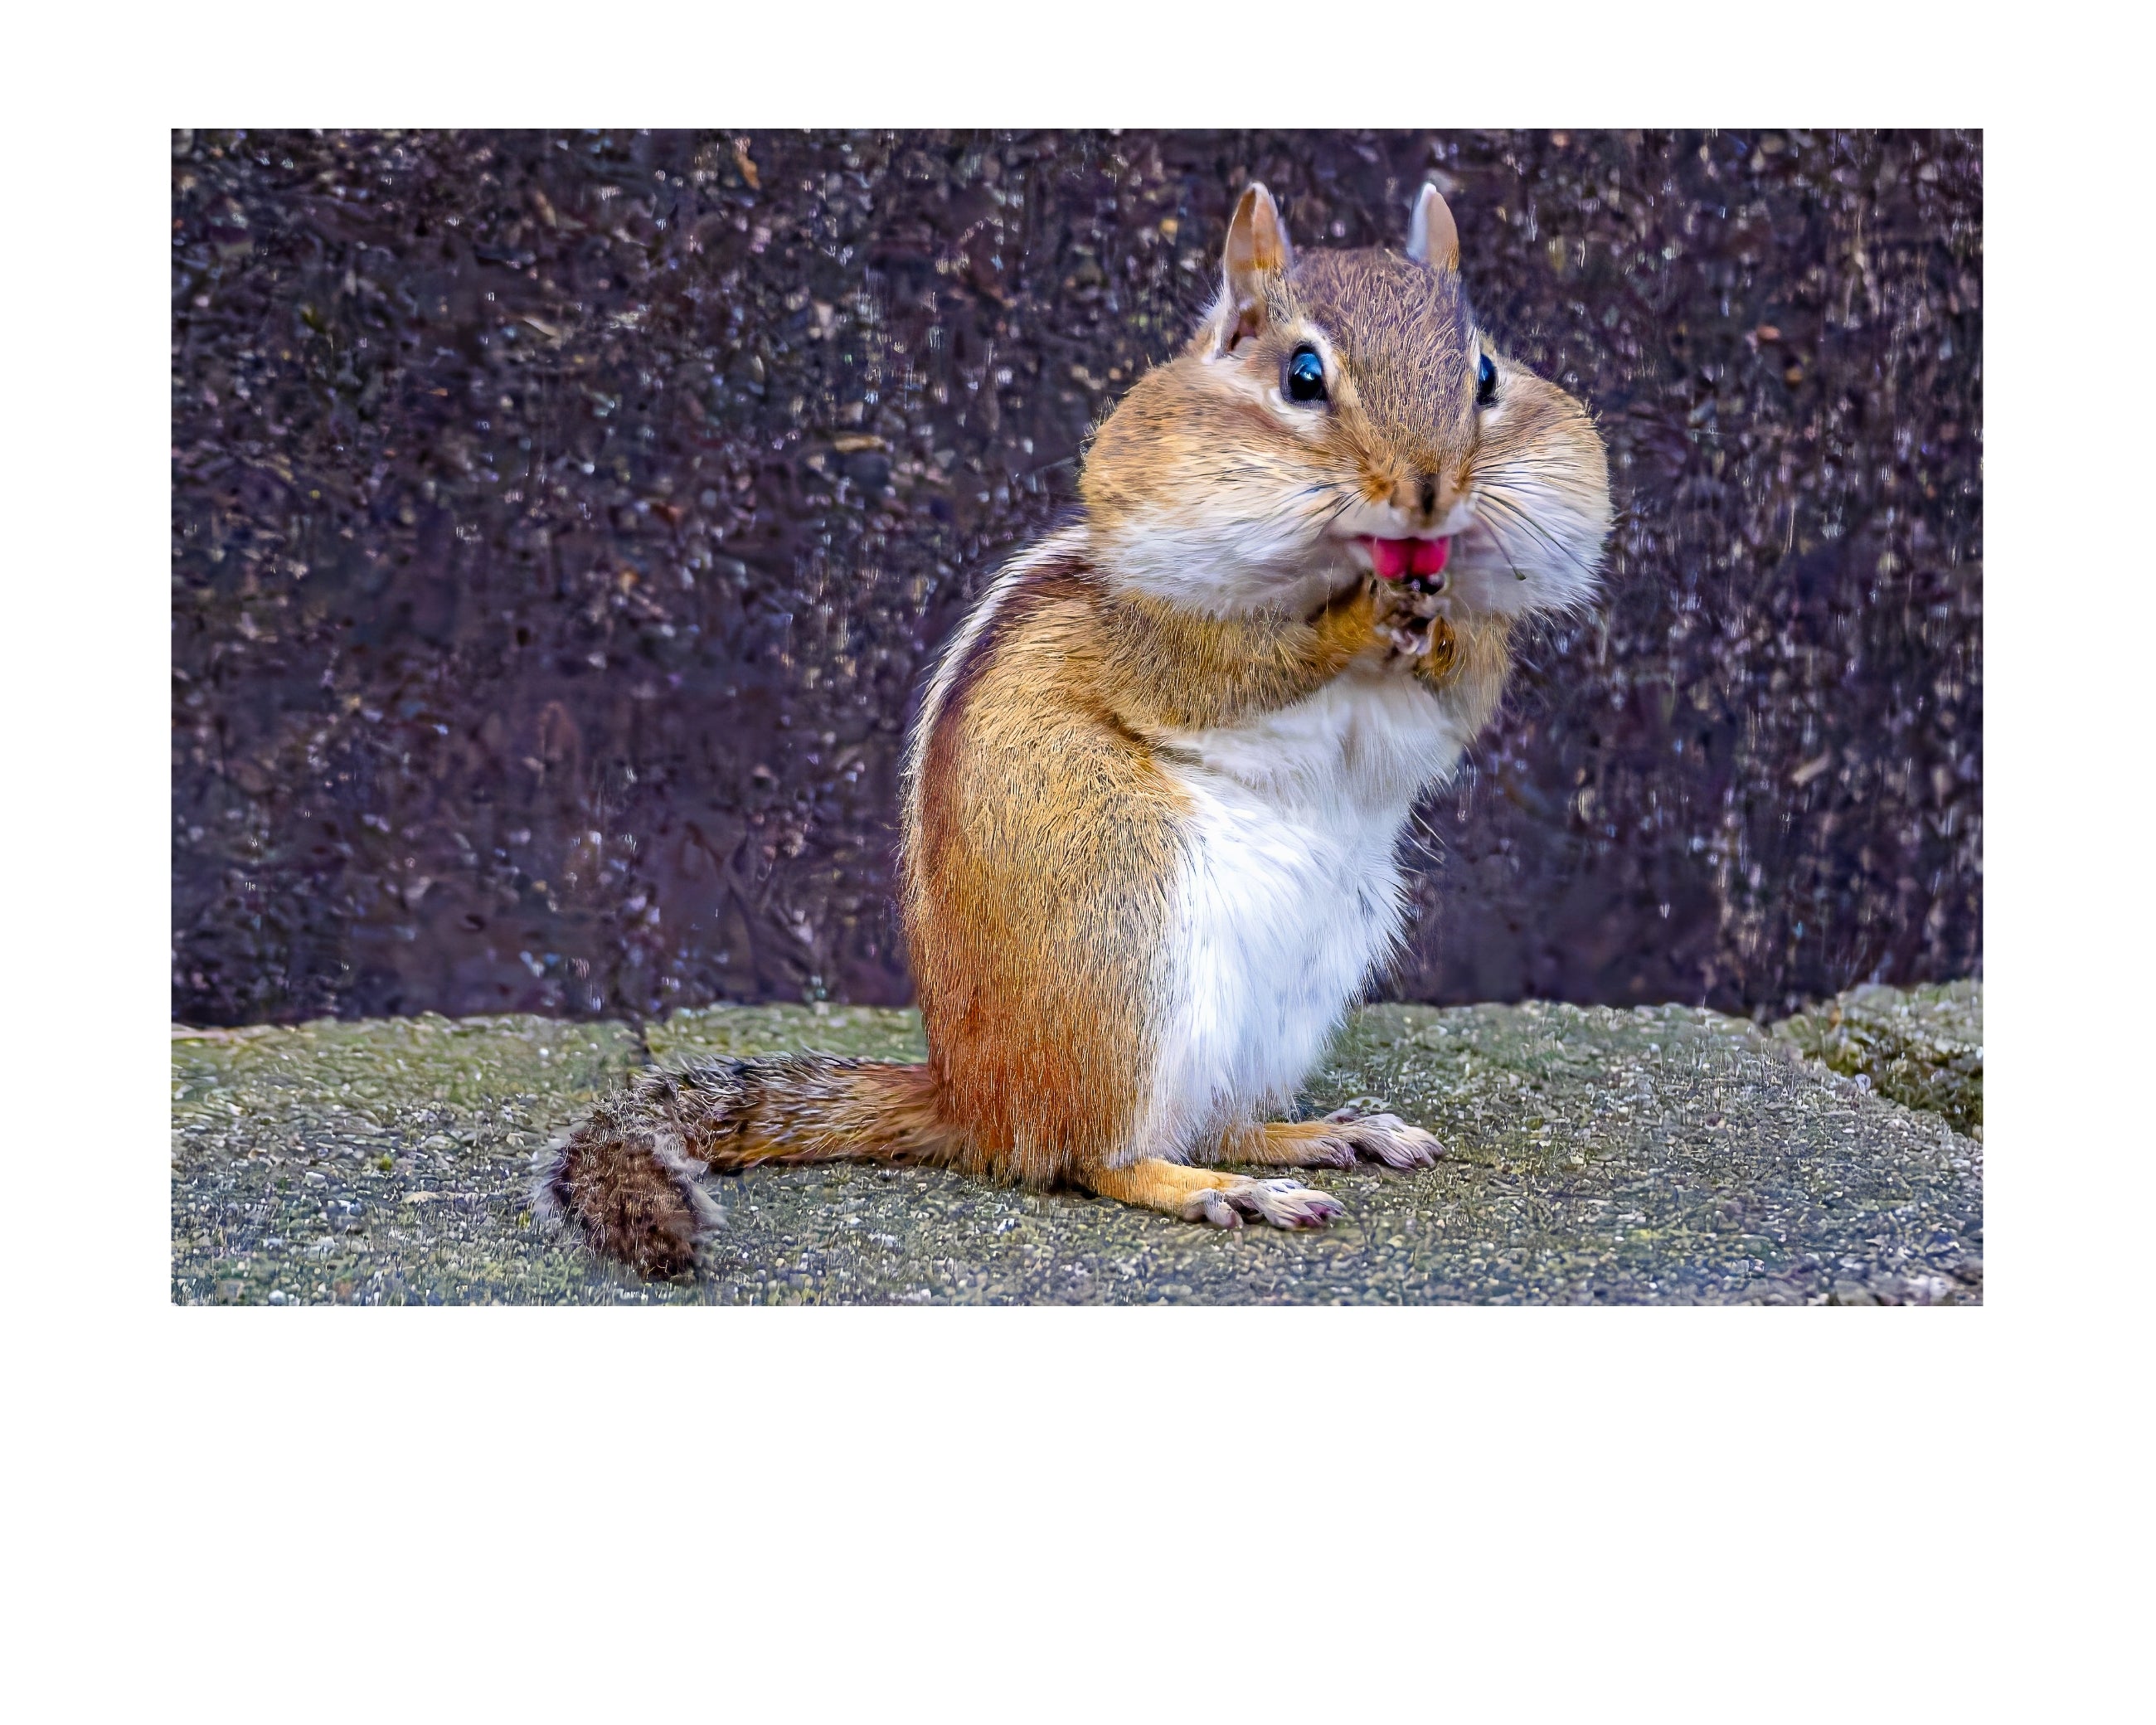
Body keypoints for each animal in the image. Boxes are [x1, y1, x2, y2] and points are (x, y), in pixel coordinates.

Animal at [537, 181, 1612, 1277]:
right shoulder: (1163, 632)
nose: (1429, 491)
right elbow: (1237, 669)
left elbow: (1461, 688)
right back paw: (1215, 1188)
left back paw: (1316, 1134)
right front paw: (1356, 617)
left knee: (1213, 1120)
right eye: (1302, 377)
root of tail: (972, 1100)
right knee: (1095, 1156)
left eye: (1485, 373)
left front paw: (1440, 617)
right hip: (1123, 935)